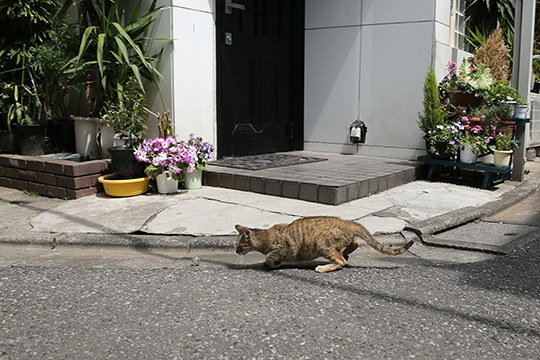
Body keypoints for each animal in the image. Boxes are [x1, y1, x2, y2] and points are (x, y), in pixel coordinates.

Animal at [234, 217, 416, 272]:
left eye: (240, 246)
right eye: (235, 245)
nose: (235, 251)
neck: (265, 236)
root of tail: (348, 222)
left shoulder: (285, 248)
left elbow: (270, 257)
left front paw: (273, 264)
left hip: (323, 246)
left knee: (341, 262)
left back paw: (323, 267)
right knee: (354, 243)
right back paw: (346, 252)